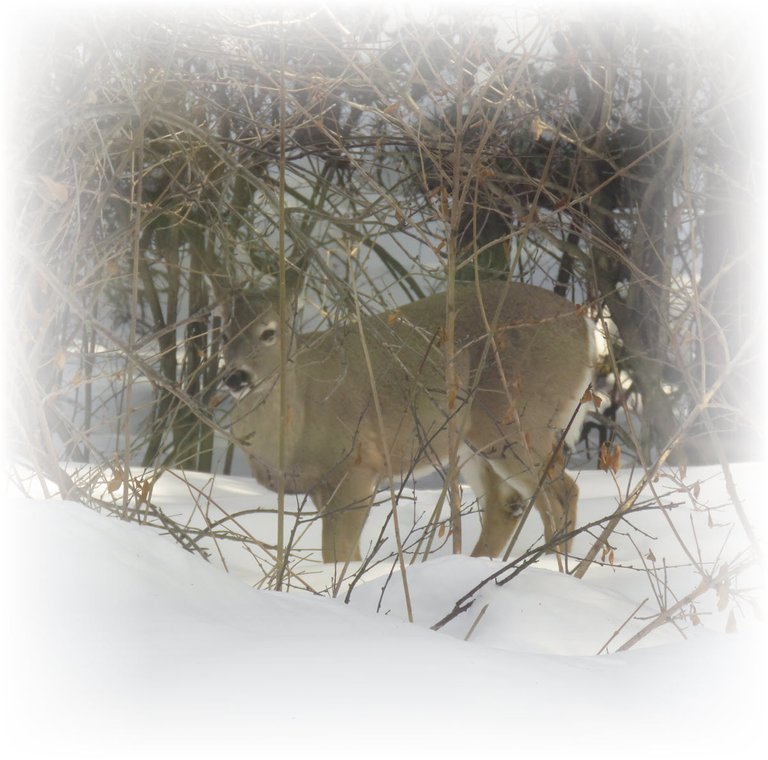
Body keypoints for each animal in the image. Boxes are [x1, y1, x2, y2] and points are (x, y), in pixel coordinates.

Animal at [219, 280, 596, 564]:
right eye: (223, 332)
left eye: (268, 332)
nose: (236, 376)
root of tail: (587, 330)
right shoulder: (317, 486)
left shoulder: (357, 466)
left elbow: (340, 554)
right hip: (471, 440)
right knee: (505, 505)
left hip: (517, 421)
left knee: (562, 495)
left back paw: (551, 568)